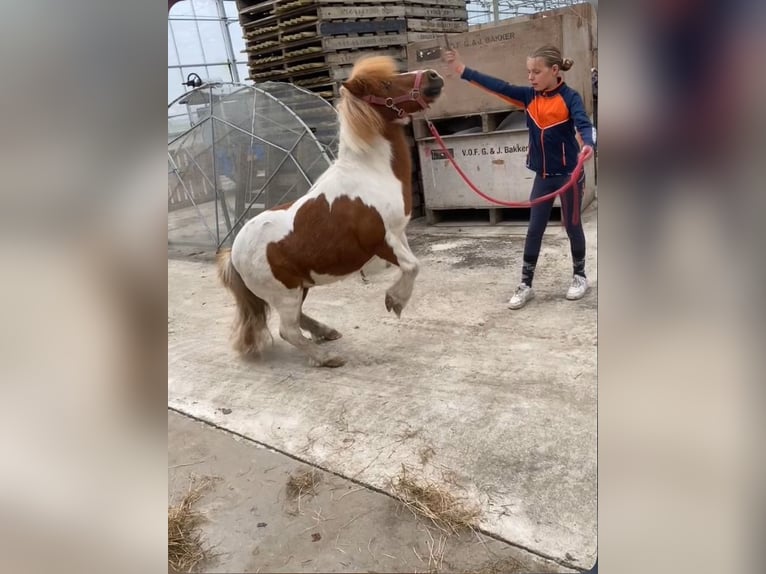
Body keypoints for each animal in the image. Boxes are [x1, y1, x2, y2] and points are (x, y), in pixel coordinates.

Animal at [218, 56, 444, 366]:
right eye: (386, 84)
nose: (434, 76)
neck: (371, 173)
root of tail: (234, 252)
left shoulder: (399, 234)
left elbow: (412, 264)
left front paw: (395, 299)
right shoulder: (382, 240)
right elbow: (413, 266)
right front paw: (395, 301)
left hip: (300, 288)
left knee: (298, 319)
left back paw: (326, 332)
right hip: (285, 293)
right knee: (288, 330)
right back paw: (326, 358)